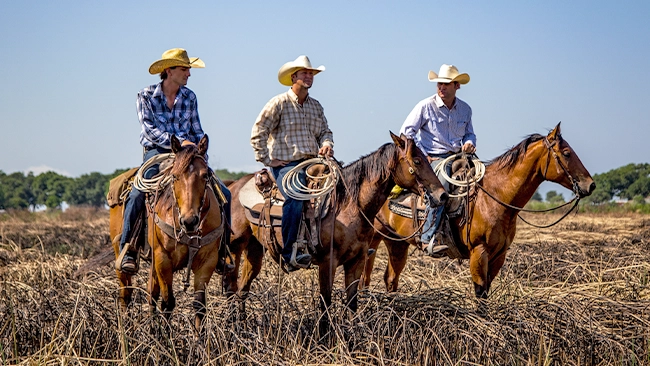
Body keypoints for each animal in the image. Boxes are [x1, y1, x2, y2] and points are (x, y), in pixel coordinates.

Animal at [112, 134, 229, 328]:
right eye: (174, 176)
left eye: (205, 176)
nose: (189, 221)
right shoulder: (163, 258)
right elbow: (168, 302)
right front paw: (166, 336)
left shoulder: (208, 261)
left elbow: (199, 305)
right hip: (121, 255)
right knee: (125, 294)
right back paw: (125, 328)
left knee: (151, 293)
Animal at [223, 131, 446, 326]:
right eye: (416, 161)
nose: (442, 195)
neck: (348, 207)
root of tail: (234, 185)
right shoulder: (327, 262)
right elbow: (325, 304)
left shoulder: (356, 261)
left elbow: (352, 304)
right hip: (234, 248)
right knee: (230, 286)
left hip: (254, 248)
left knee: (242, 288)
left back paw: (241, 324)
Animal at [362, 121, 596, 298]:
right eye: (566, 153)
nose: (591, 185)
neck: (494, 198)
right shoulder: (478, 252)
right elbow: (480, 292)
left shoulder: (499, 255)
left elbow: (487, 291)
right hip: (373, 239)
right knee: (365, 276)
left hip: (397, 243)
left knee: (390, 278)